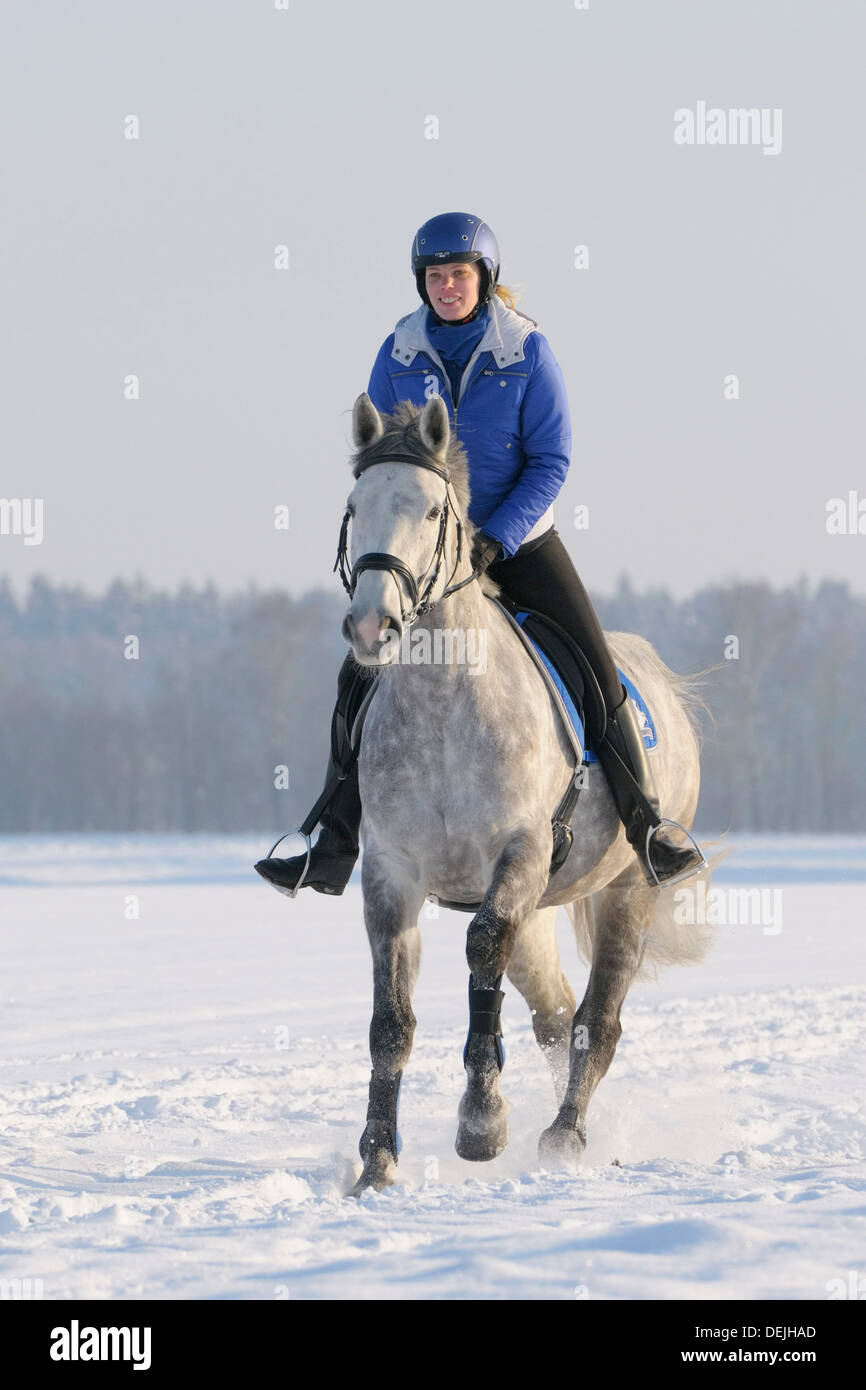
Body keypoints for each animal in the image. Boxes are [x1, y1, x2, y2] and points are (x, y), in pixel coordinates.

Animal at [336, 391, 711, 1195]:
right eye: (354, 506)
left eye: (430, 510)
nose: (372, 625)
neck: (444, 707)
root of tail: (661, 681)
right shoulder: (391, 874)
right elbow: (391, 1021)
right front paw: (376, 1161)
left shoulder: (519, 852)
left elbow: (481, 953)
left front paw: (481, 1126)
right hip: (539, 910)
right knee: (555, 1016)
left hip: (628, 888)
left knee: (597, 1020)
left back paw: (564, 1137)